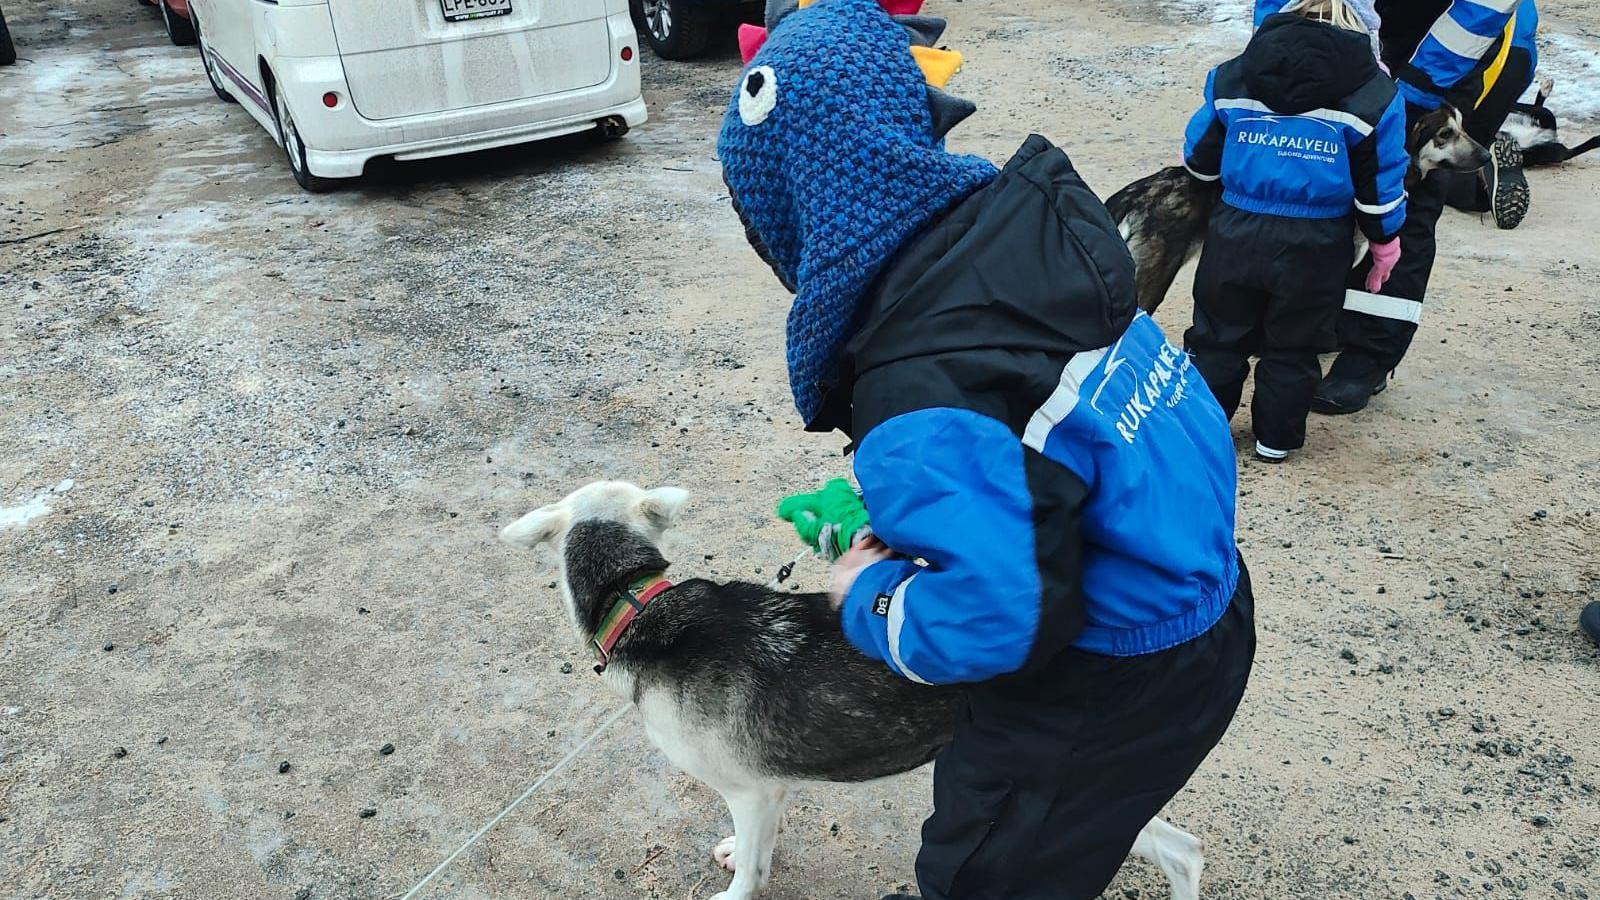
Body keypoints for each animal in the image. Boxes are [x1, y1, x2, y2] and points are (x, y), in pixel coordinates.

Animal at [499, 480, 1209, 896]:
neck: (637, 603)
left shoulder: (748, 791)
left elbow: (749, 877)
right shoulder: (771, 791)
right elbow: (758, 852)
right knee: (1184, 848)